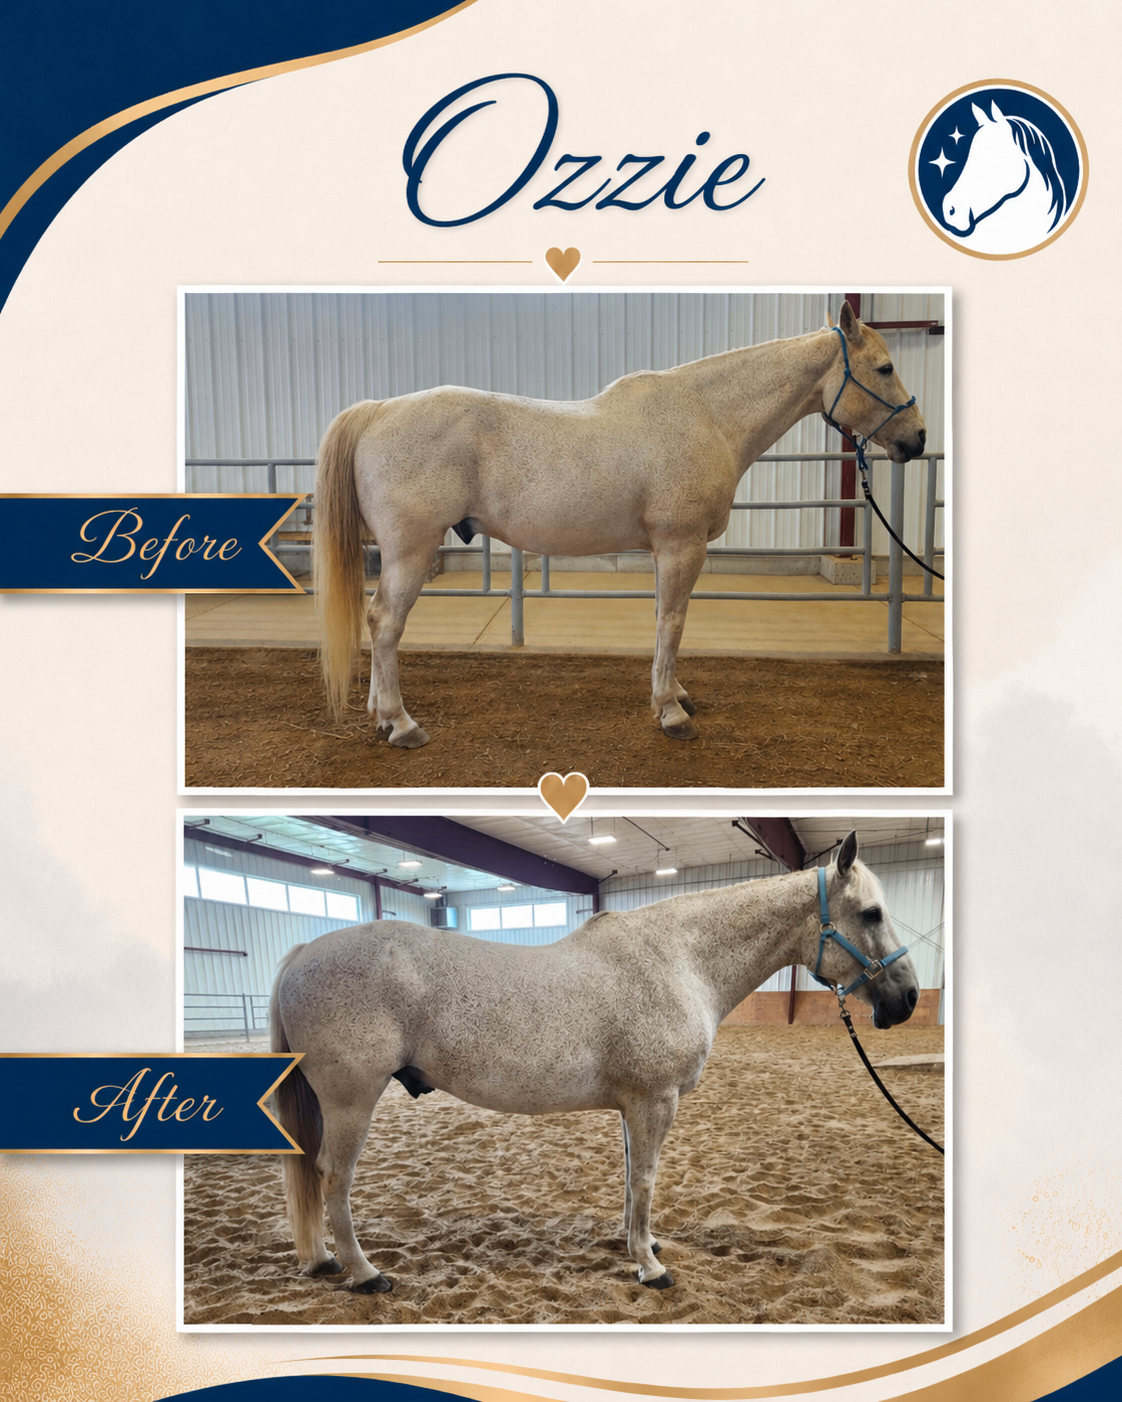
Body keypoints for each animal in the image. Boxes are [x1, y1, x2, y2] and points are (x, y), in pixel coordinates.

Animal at [269, 831, 919, 1295]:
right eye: (871, 913)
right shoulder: (655, 1100)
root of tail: (304, 951)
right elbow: (648, 1179)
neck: (678, 960)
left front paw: (641, 1245)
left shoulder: (634, 1106)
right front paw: (650, 1268)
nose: (909, 999)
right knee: (333, 1177)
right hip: (351, 1100)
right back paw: (364, 1273)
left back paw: (324, 1261)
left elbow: (633, 1180)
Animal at [313, 302, 926, 748]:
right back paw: (401, 724)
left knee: (378, 622)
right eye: (884, 368)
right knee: (385, 622)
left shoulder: (668, 551)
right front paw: (672, 714)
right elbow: (672, 623)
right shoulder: (681, 546)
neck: (707, 415)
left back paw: (380, 714)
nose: (917, 440)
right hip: (411, 551)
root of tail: (378, 410)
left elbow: (664, 621)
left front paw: (675, 694)